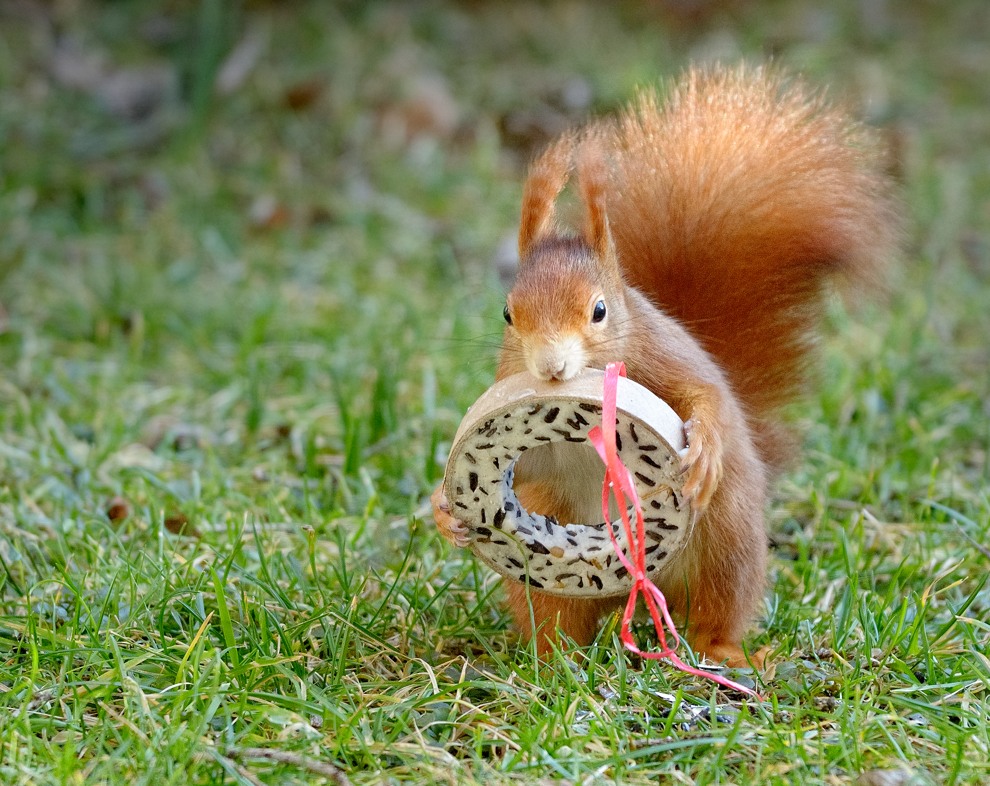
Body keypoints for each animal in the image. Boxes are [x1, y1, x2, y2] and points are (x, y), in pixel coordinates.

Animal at [432, 64, 900, 664]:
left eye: (600, 310)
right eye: (508, 313)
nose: (552, 369)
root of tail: (633, 595)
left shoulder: (663, 354)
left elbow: (707, 395)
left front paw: (703, 447)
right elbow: (529, 465)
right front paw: (443, 511)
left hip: (726, 542)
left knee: (716, 610)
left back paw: (723, 651)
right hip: (547, 580)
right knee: (557, 616)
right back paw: (552, 660)